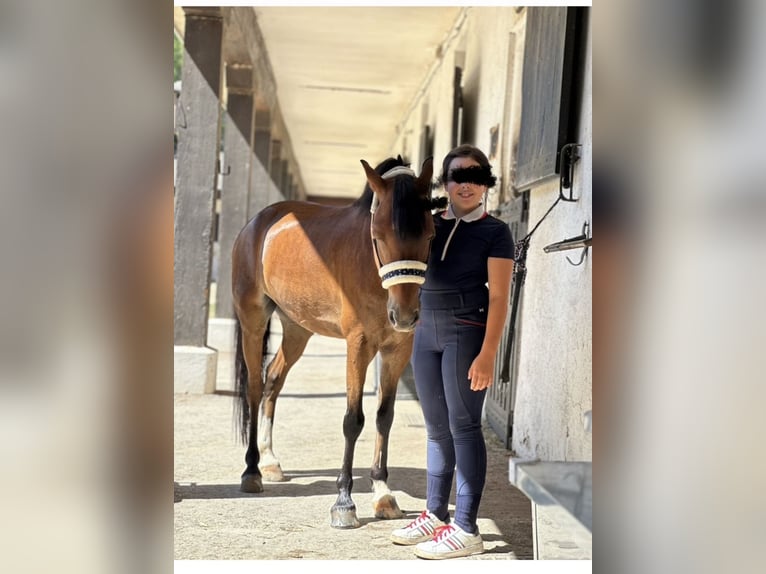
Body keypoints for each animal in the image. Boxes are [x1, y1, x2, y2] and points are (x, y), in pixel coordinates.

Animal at [231, 155, 446, 528]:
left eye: (431, 234)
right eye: (377, 235)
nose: (405, 316)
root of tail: (257, 223)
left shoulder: (397, 349)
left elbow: (384, 415)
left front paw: (383, 493)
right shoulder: (358, 345)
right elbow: (353, 419)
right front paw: (344, 502)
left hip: (297, 329)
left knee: (273, 379)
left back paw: (271, 461)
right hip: (252, 322)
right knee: (256, 388)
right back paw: (253, 470)